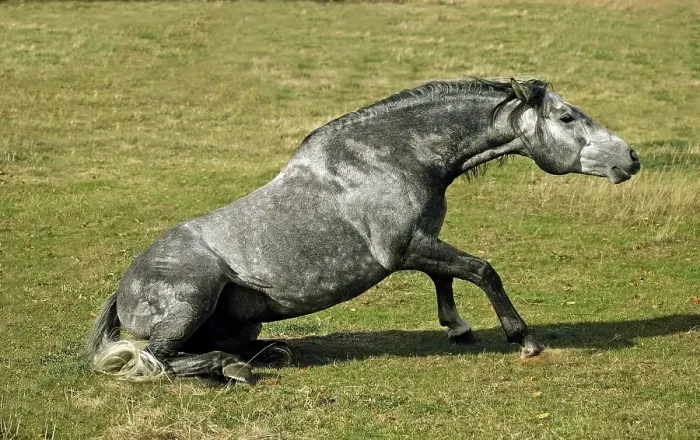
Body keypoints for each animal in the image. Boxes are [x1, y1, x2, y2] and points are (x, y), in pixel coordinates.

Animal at [85, 78, 640, 382]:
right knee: (158, 358)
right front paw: (522, 338)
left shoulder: (421, 242)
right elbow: (482, 270)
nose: (630, 158)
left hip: (241, 321)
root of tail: (123, 290)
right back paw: (232, 368)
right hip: (192, 300)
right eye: (566, 117)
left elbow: (446, 275)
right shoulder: (403, 249)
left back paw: (269, 353)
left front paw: (456, 327)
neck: (392, 157)